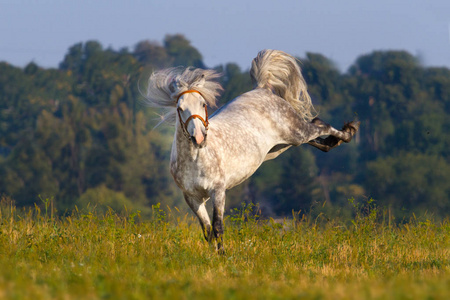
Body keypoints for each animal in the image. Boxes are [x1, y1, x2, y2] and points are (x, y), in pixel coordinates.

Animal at [146, 50, 360, 252]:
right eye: (180, 108)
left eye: (203, 104)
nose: (199, 138)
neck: (196, 158)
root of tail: (262, 89)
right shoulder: (193, 198)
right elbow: (207, 231)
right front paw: (212, 256)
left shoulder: (218, 191)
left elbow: (217, 228)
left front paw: (222, 256)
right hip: (280, 146)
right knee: (318, 138)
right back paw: (334, 141)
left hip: (296, 132)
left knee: (321, 125)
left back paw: (349, 132)